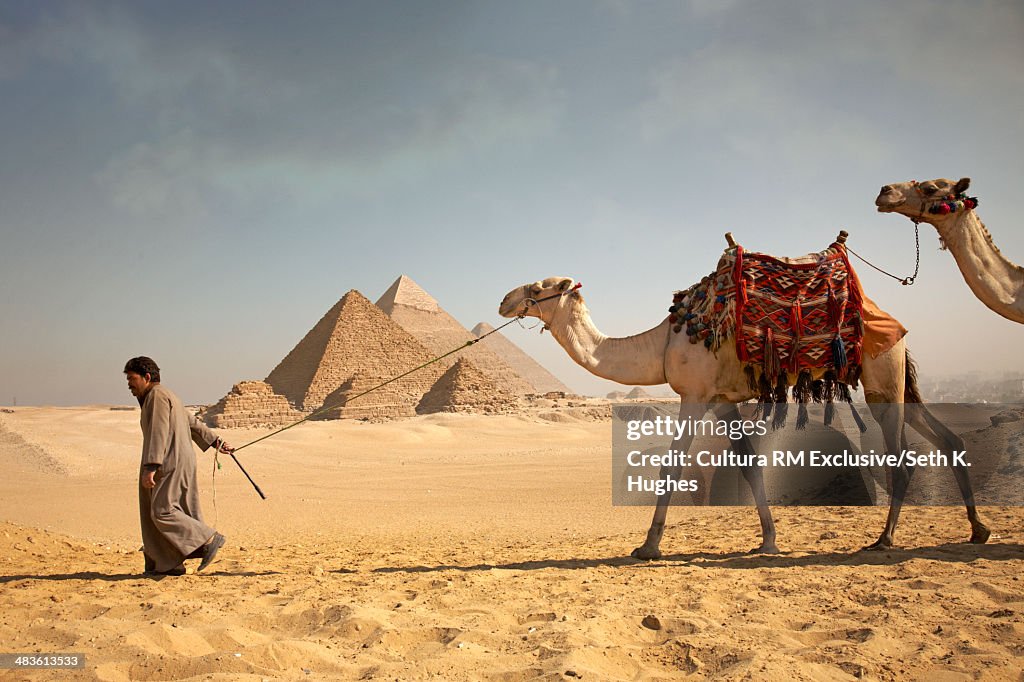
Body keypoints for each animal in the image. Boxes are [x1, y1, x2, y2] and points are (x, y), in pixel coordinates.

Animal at [499, 268, 987, 557]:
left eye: (540, 287)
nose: (505, 299)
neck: (661, 344)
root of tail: (898, 326)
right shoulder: (724, 399)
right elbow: (750, 465)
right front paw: (768, 541)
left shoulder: (694, 394)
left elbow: (673, 466)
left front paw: (648, 547)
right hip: (897, 381)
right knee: (949, 440)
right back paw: (977, 530)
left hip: (882, 378)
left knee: (902, 459)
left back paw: (884, 540)